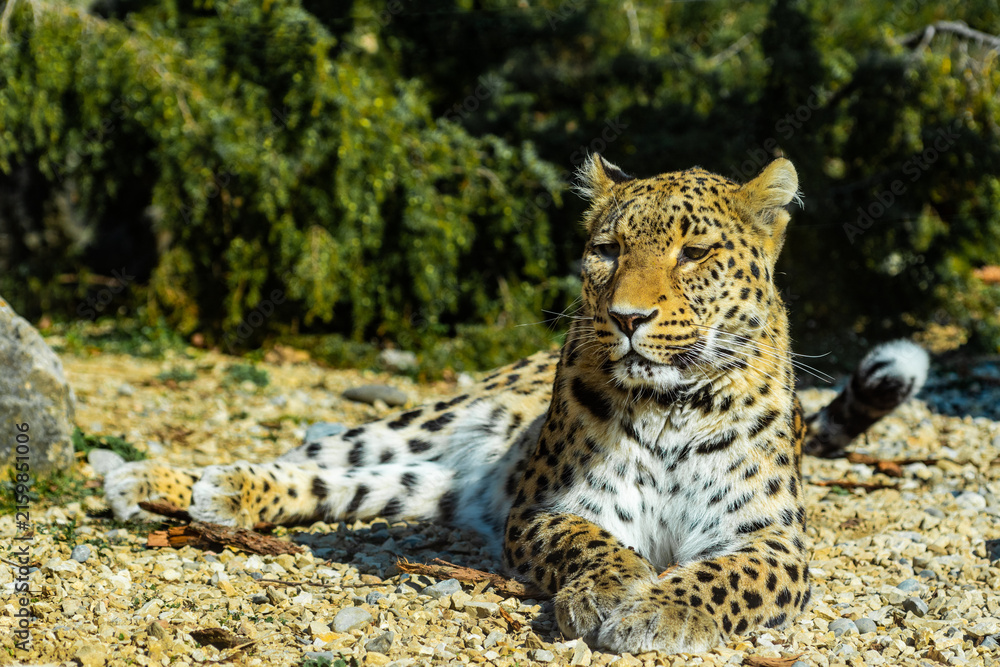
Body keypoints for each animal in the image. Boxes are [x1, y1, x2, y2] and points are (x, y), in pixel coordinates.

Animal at [102, 156, 929, 654]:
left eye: (694, 254)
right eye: (606, 249)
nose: (627, 317)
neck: (671, 405)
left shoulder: (771, 540)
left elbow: (727, 577)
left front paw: (662, 608)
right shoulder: (546, 508)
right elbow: (595, 543)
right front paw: (616, 589)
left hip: (419, 485)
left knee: (339, 484)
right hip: (424, 424)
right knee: (312, 454)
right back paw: (164, 481)